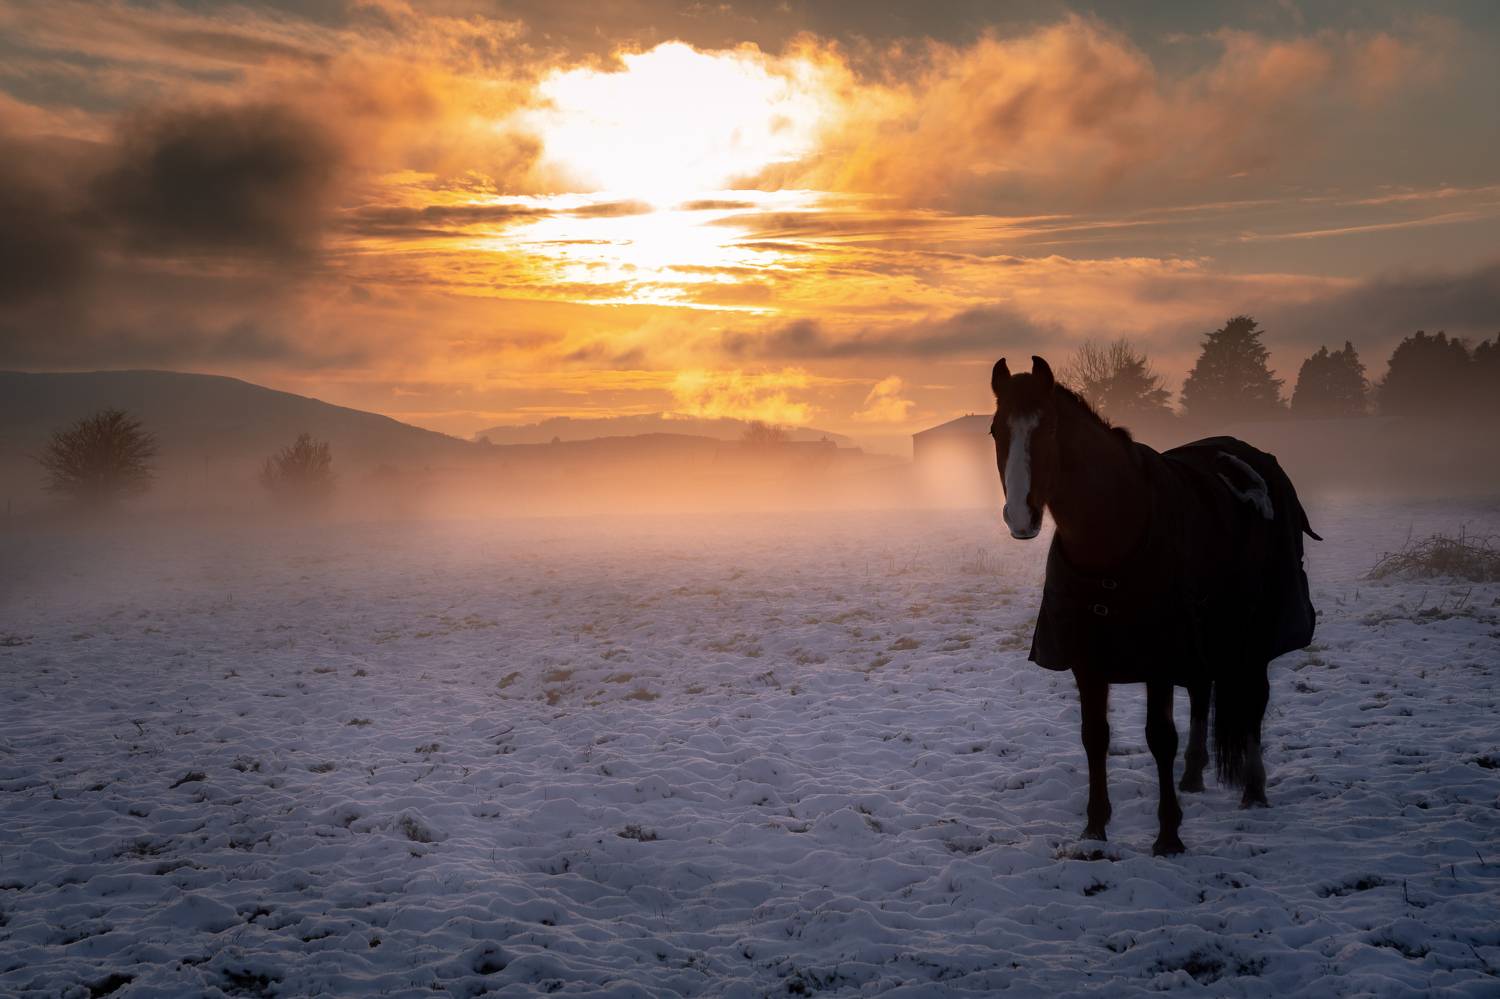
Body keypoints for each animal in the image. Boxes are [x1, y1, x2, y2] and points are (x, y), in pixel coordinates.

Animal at [990, 355, 1318, 855]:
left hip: (1252, 629)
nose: (1021, 517)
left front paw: (1168, 836)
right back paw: (1193, 775)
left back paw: (1253, 789)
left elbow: (1160, 737)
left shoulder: (1160, 657)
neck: (1112, 538)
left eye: (1050, 429)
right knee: (1203, 691)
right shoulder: (1088, 658)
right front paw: (1095, 829)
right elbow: (1095, 737)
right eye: (995, 430)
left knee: (1254, 698)